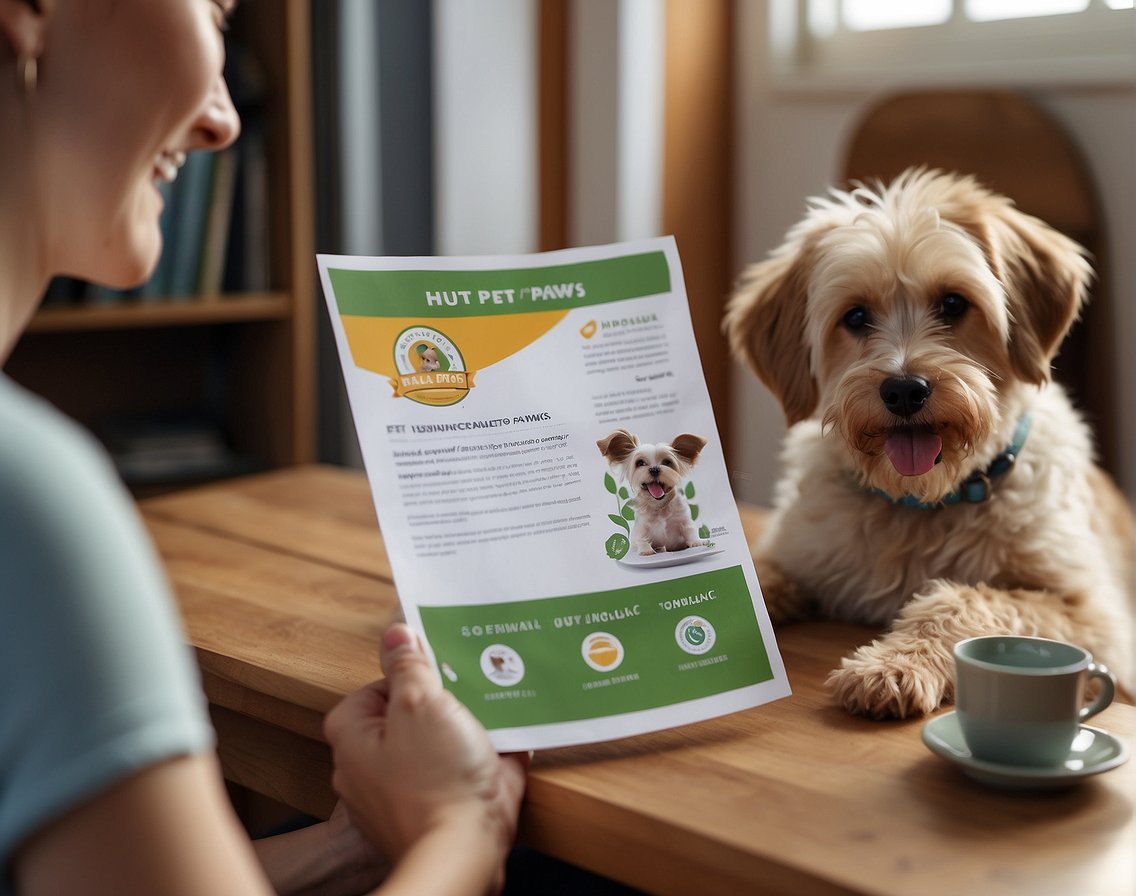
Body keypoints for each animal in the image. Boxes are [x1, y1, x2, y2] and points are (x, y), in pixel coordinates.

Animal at [722, 164, 1131, 717]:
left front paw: (893, 664)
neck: (920, 505)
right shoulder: (794, 556)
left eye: (953, 302)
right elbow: (753, 579)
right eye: (855, 316)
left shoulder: (1096, 619)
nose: (903, 390)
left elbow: (965, 598)